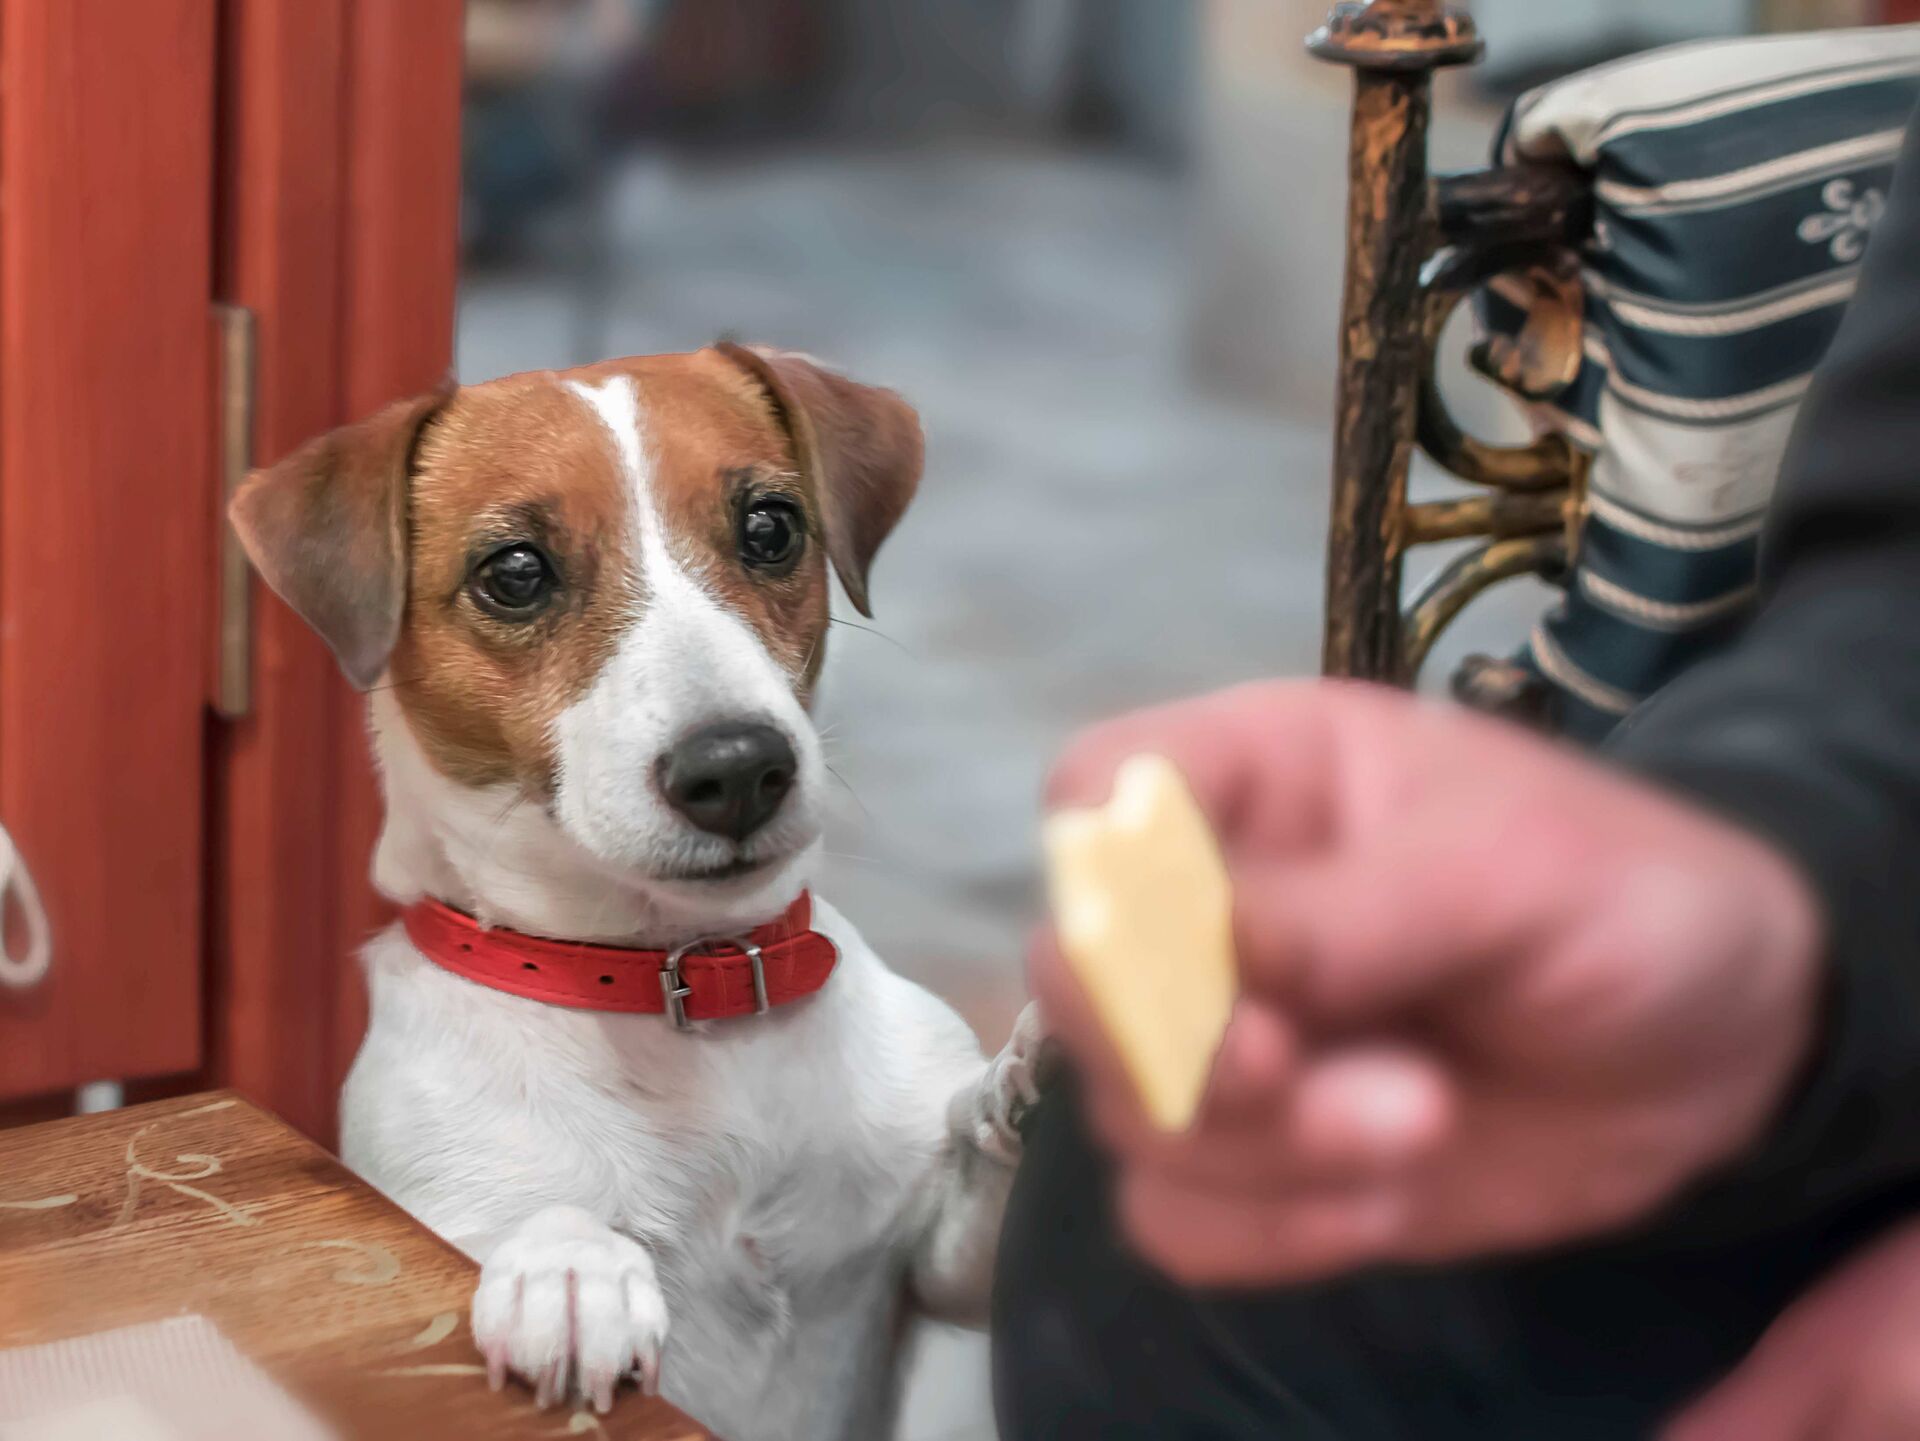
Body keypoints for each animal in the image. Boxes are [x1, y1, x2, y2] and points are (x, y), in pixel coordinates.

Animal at [230, 347, 1044, 1441]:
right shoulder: (428, 1207)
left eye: (771, 528)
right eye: (515, 572)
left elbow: (985, 1198)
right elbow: (537, 1214)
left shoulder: (938, 1268)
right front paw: (571, 1266)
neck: (680, 980)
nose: (738, 767)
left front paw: (1035, 1072)